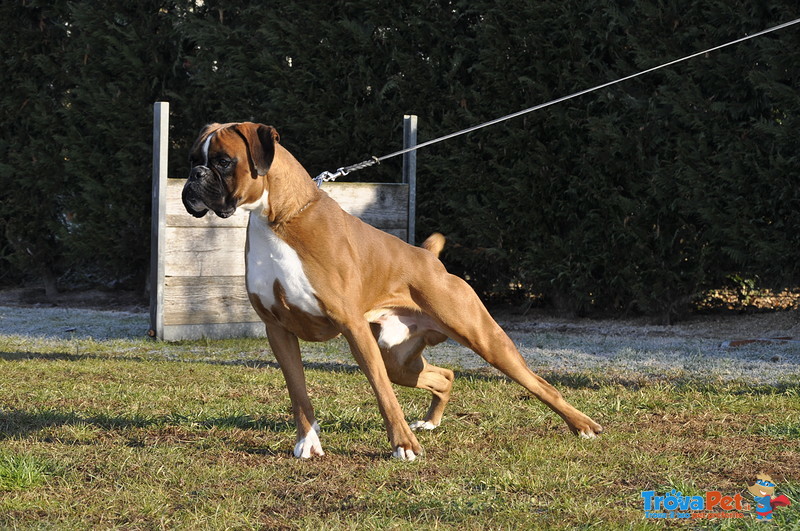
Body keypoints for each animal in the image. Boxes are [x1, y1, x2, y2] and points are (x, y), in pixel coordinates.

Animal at [183, 122, 600, 460]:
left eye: (223, 161)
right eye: (193, 160)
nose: (194, 176)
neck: (278, 218)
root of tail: (429, 258)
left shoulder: (352, 328)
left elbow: (382, 392)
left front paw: (403, 447)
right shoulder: (278, 331)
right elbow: (298, 393)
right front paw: (309, 444)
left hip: (482, 338)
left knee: (541, 384)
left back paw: (583, 426)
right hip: (397, 357)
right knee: (444, 376)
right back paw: (430, 423)